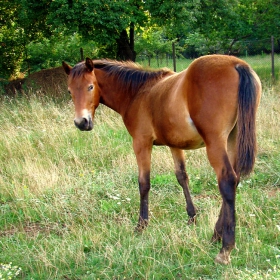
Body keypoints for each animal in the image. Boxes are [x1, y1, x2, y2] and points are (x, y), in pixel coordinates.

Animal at [62, 54, 262, 264]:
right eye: (70, 91)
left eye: (90, 87)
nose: (81, 122)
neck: (137, 92)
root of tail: (237, 64)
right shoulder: (175, 144)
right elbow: (182, 177)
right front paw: (192, 217)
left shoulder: (141, 143)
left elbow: (144, 183)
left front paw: (141, 225)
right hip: (233, 138)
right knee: (235, 179)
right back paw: (216, 235)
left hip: (215, 142)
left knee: (227, 181)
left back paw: (225, 248)